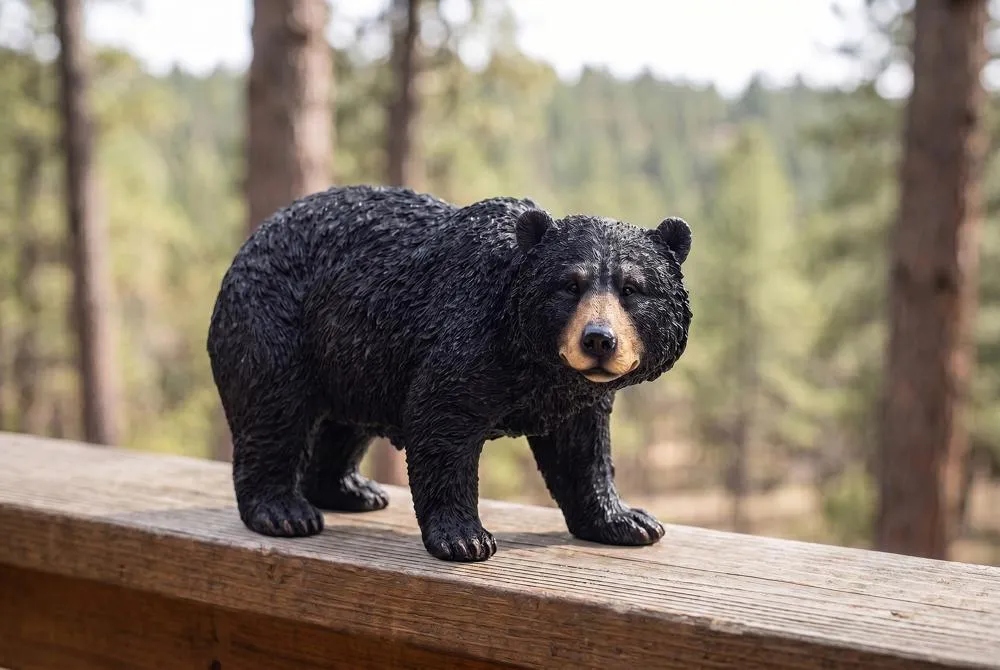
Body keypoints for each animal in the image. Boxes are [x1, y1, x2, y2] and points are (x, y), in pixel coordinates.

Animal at [207, 185, 692, 562]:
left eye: (632, 288)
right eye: (570, 284)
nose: (598, 340)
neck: (531, 355)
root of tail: (250, 242)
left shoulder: (572, 393)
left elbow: (581, 450)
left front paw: (628, 520)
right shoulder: (466, 335)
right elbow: (441, 422)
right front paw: (465, 538)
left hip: (353, 354)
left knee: (343, 424)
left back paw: (350, 491)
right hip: (273, 319)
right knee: (273, 409)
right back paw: (283, 511)